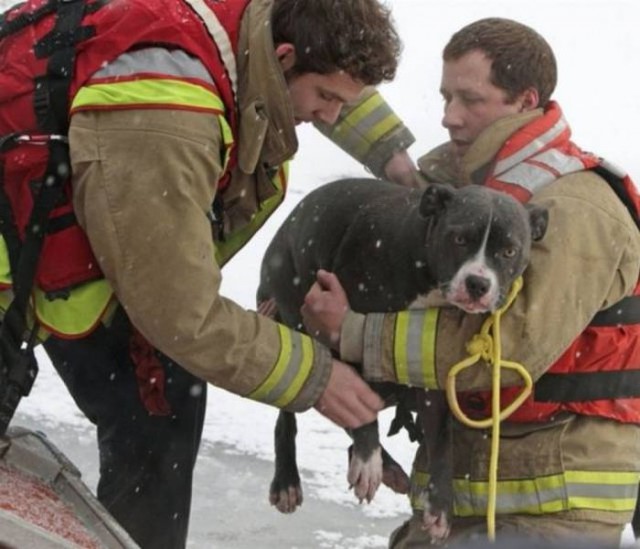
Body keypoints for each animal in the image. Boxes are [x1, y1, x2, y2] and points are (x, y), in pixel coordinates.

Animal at [258, 178, 548, 536]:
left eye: (509, 251)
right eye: (459, 238)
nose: (478, 283)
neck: (425, 268)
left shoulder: (428, 361)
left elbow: (441, 440)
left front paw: (440, 505)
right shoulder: (344, 325)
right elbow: (355, 404)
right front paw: (367, 461)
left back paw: (390, 468)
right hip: (292, 317)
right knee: (292, 412)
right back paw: (290, 480)